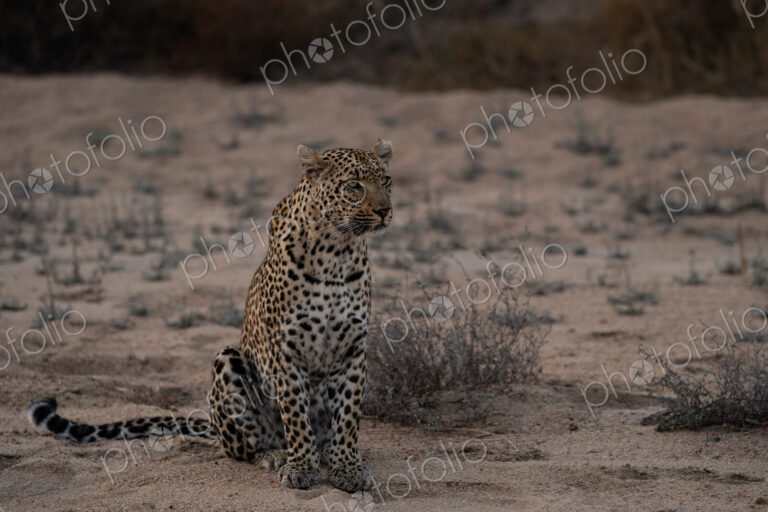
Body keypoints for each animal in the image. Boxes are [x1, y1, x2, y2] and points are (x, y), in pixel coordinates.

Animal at [27, 139, 394, 493]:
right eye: (354, 185)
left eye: (386, 181)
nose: (385, 211)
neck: (338, 252)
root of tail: (215, 425)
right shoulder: (286, 351)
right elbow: (295, 417)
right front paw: (302, 468)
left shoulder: (353, 349)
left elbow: (348, 416)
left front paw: (347, 467)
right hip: (227, 361)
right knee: (245, 448)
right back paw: (277, 455)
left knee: (324, 435)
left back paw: (330, 452)